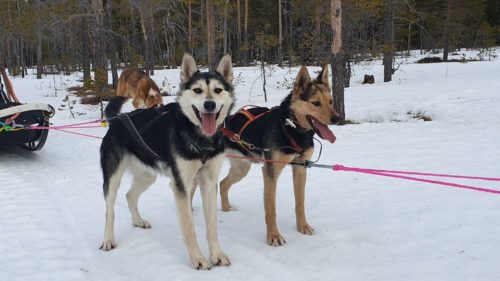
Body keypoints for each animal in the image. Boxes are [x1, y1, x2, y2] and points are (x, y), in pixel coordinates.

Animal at [101, 53, 236, 268]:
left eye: (217, 90)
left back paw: (138, 221)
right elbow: (189, 228)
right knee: (110, 210)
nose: (209, 105)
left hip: (147, 176)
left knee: (130, 196)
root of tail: (117, 120)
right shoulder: (181, 185)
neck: (199, 137)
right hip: (112, 180)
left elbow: (212, 226)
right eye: (197, 90)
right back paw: (108, 239)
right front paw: (198, 259)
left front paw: (217, 255)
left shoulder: (208, 181)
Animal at [220, 65, 340, 245]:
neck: (291, 129)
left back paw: (226, 209)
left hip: (241, 168)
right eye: (316, 103)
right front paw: (273, 236)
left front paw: (302, 226)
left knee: (222, 184)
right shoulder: (270, 172)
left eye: (331, 101)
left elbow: (300, 203)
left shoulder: (300, 168)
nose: (338, 118)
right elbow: (271, 209)